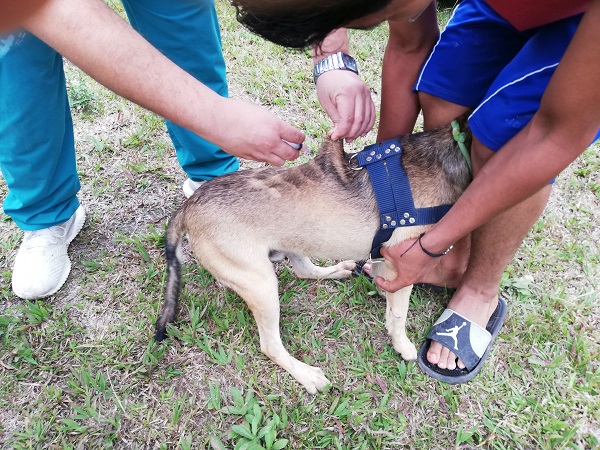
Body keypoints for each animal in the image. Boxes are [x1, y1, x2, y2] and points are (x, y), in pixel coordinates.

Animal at [156, 117, 474, 394]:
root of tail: (188, 207)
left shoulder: (387, 261)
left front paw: (383, 293)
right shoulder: (403, 261)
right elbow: (398, 315)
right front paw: (402, 344)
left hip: (292, 247)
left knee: (305, 271)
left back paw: (338, 270)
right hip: (260, 283)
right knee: (270, 345)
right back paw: (306, 374)